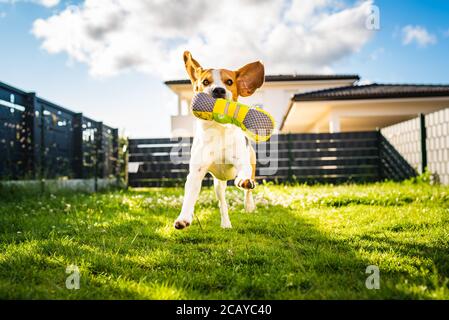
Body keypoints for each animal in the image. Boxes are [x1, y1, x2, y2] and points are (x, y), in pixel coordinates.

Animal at [172, 51, 262, 229]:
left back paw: (249, 204)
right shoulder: (196, 173)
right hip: (218, 184)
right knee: (223, 203)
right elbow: (189, 196)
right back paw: (226, 223)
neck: (218, 129)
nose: (219, 90)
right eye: (205, 82)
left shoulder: (242, 163)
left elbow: (244, 177)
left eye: (229, 82)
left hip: (252, 164)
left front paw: (243, 183)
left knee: (248, 189)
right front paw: (183, 218)